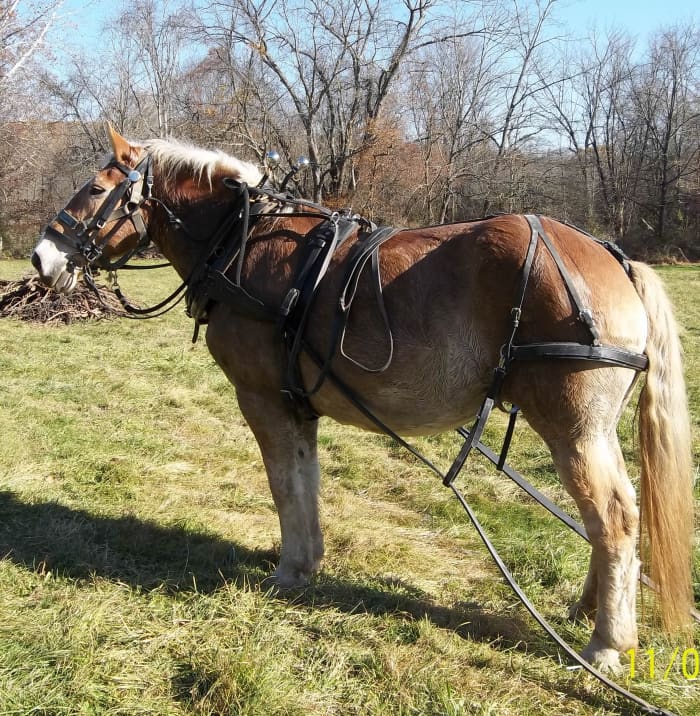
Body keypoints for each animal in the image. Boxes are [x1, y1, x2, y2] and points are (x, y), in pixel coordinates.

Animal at [30, 121, 692, 672]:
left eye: (94, 189)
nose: (41, 257)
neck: (242, 242)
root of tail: (614, 258)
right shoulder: (297, 403)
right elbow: (306, 481)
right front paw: (309, 560)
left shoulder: (262, 399)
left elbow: (284, 484)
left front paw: (290, 570)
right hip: (590, 430)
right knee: (612, 521)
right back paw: (591, 607)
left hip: (572, 427)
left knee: (614, 517)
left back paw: (608, 642)